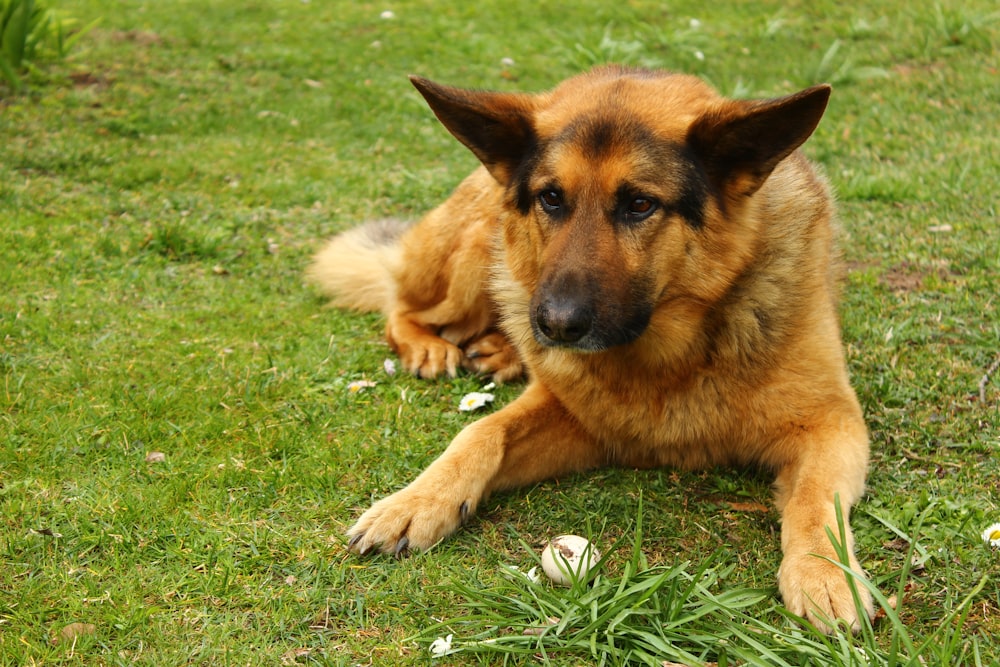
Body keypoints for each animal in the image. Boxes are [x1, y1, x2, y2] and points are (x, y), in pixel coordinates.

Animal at [310, 66, 876, 632]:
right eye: (551, 198)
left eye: (640, 204)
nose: (554, 326)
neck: (664, 359)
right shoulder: (575, 418)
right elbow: (481, 431)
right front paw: (416, 501)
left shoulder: (833, 424)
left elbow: (815, 500)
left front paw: (825, 575)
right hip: (476, 249)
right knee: (401, 303)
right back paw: (431, 346)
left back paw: (502, 350)